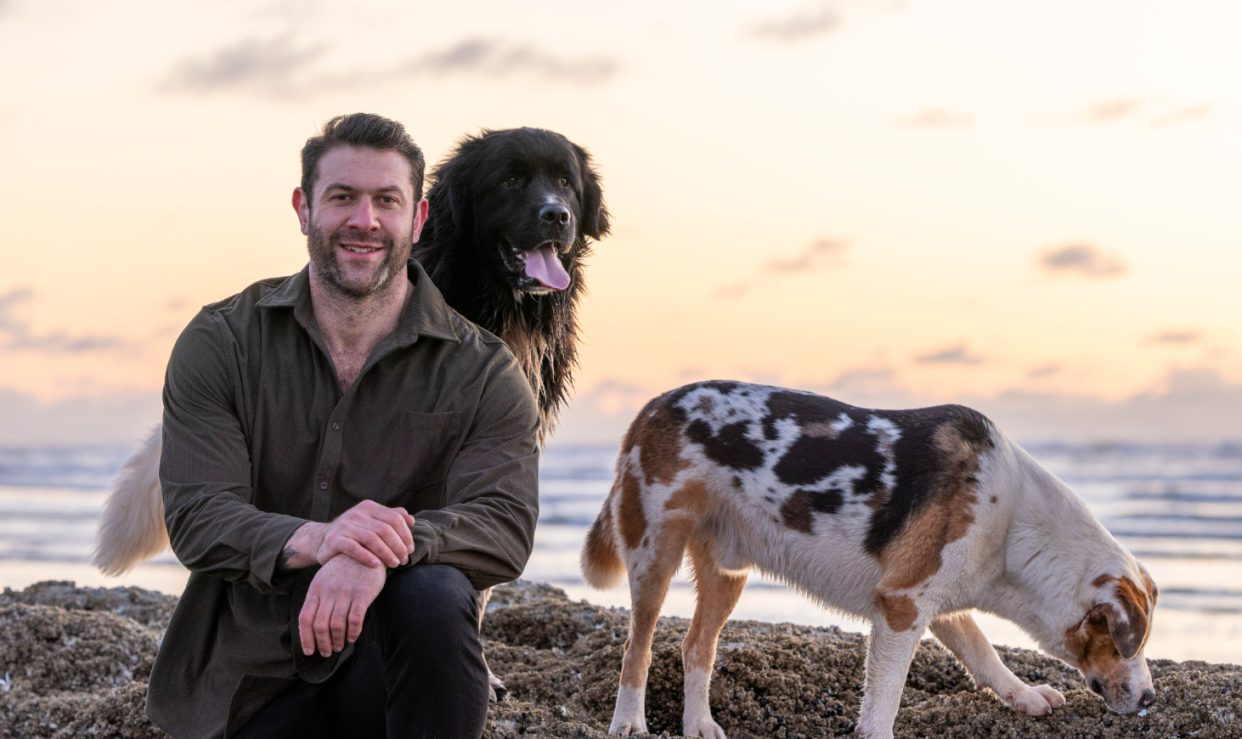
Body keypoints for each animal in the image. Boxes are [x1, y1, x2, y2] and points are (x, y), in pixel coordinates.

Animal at [576, 382, 1157, 739]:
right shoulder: (902, 606)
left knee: (697, 647)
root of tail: (654, 405)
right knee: (636, 648)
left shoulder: (936, 603)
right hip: (654, 553)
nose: (1152, 699)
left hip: (727, 571)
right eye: (1125, 642)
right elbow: (884, 702)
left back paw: (698, 724)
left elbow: (985, 656)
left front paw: (1023, 695)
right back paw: (628, 722)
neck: (1017, 526)